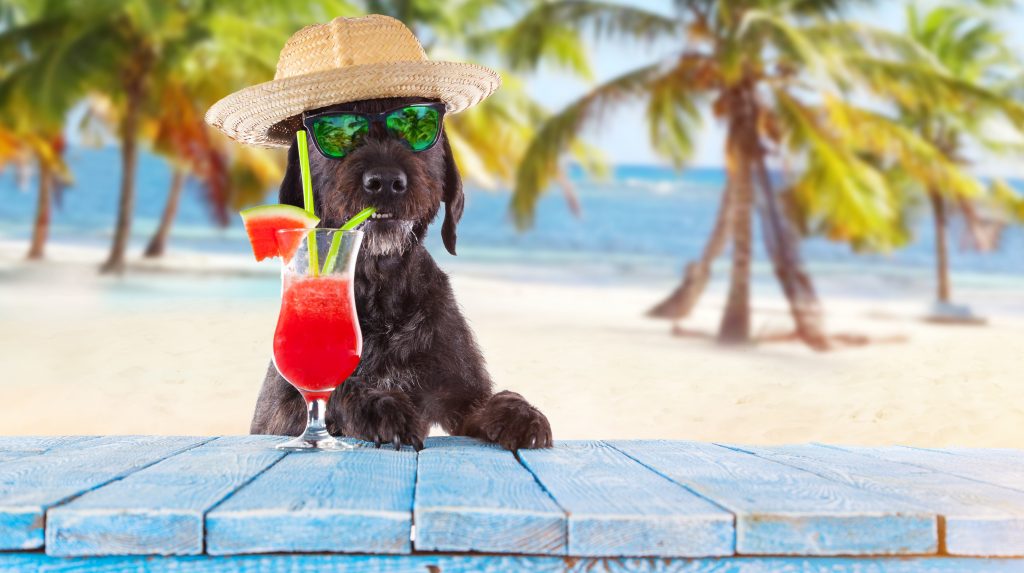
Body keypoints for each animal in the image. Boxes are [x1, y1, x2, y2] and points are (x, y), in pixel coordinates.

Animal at [249, 96, 552, 450]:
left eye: (416, 122)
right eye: (337, 128)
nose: (384, 181)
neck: (382, 295)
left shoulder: (462, 394)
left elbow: (485, 402)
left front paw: (518, 411)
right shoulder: (281, 408)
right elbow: (336, 389)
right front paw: (380, 407)